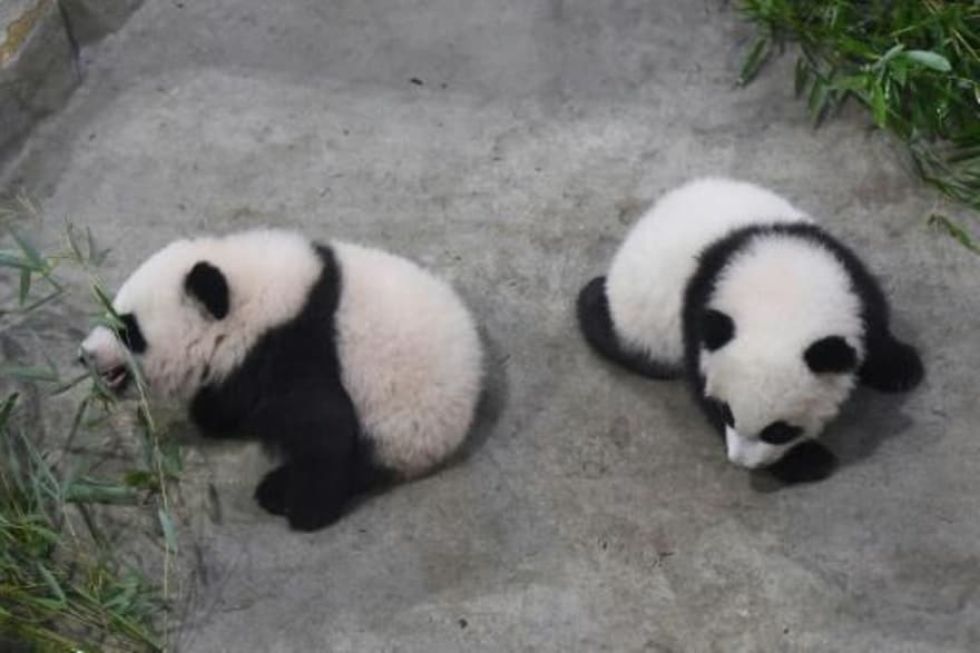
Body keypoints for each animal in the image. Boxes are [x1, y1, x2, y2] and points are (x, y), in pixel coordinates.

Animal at [80, 229, 484, 531]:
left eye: (128, 329)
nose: (85, 353)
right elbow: (235, 398)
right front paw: (211, 414)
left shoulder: (299, 347)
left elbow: (327, 427)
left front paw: (308, 512)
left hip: (403, 426)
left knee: (361, 460)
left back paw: (276, 491)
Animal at [577, 177, 924, 483]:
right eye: (727, 413)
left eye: (779, 430)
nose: (741, 462)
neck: (782, 296)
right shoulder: (700, 322)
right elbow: (699, 385)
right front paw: (808, 462)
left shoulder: (843, 271)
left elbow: (873, 321)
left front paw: (901, 369)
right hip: (642, 326)